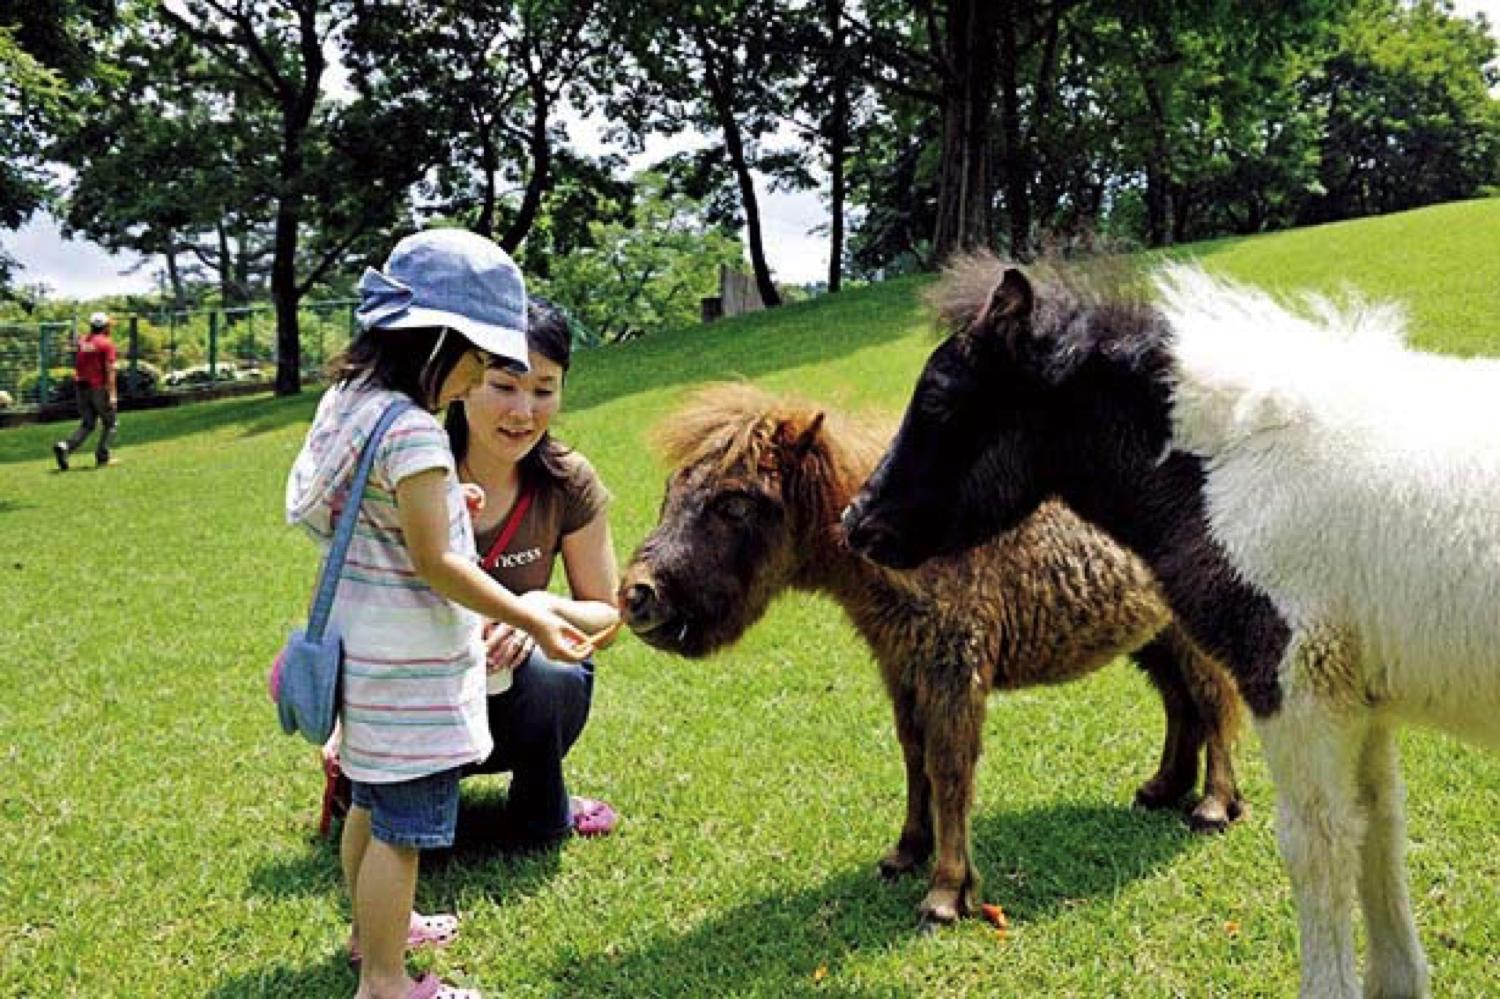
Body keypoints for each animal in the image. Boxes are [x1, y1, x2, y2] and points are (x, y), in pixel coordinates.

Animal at [618, 382, 1242, 924]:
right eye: (672, 491)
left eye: (735, 504)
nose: (637, 595)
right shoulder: (902, 668)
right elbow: (914, 756)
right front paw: (906, 852)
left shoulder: (953, 673)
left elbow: (949, 769)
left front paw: (945, 893)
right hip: (1153, 635)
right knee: (1180, 702)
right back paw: (1164, 787)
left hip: (1188, 630)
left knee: (1211, 699)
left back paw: (1214, 805)